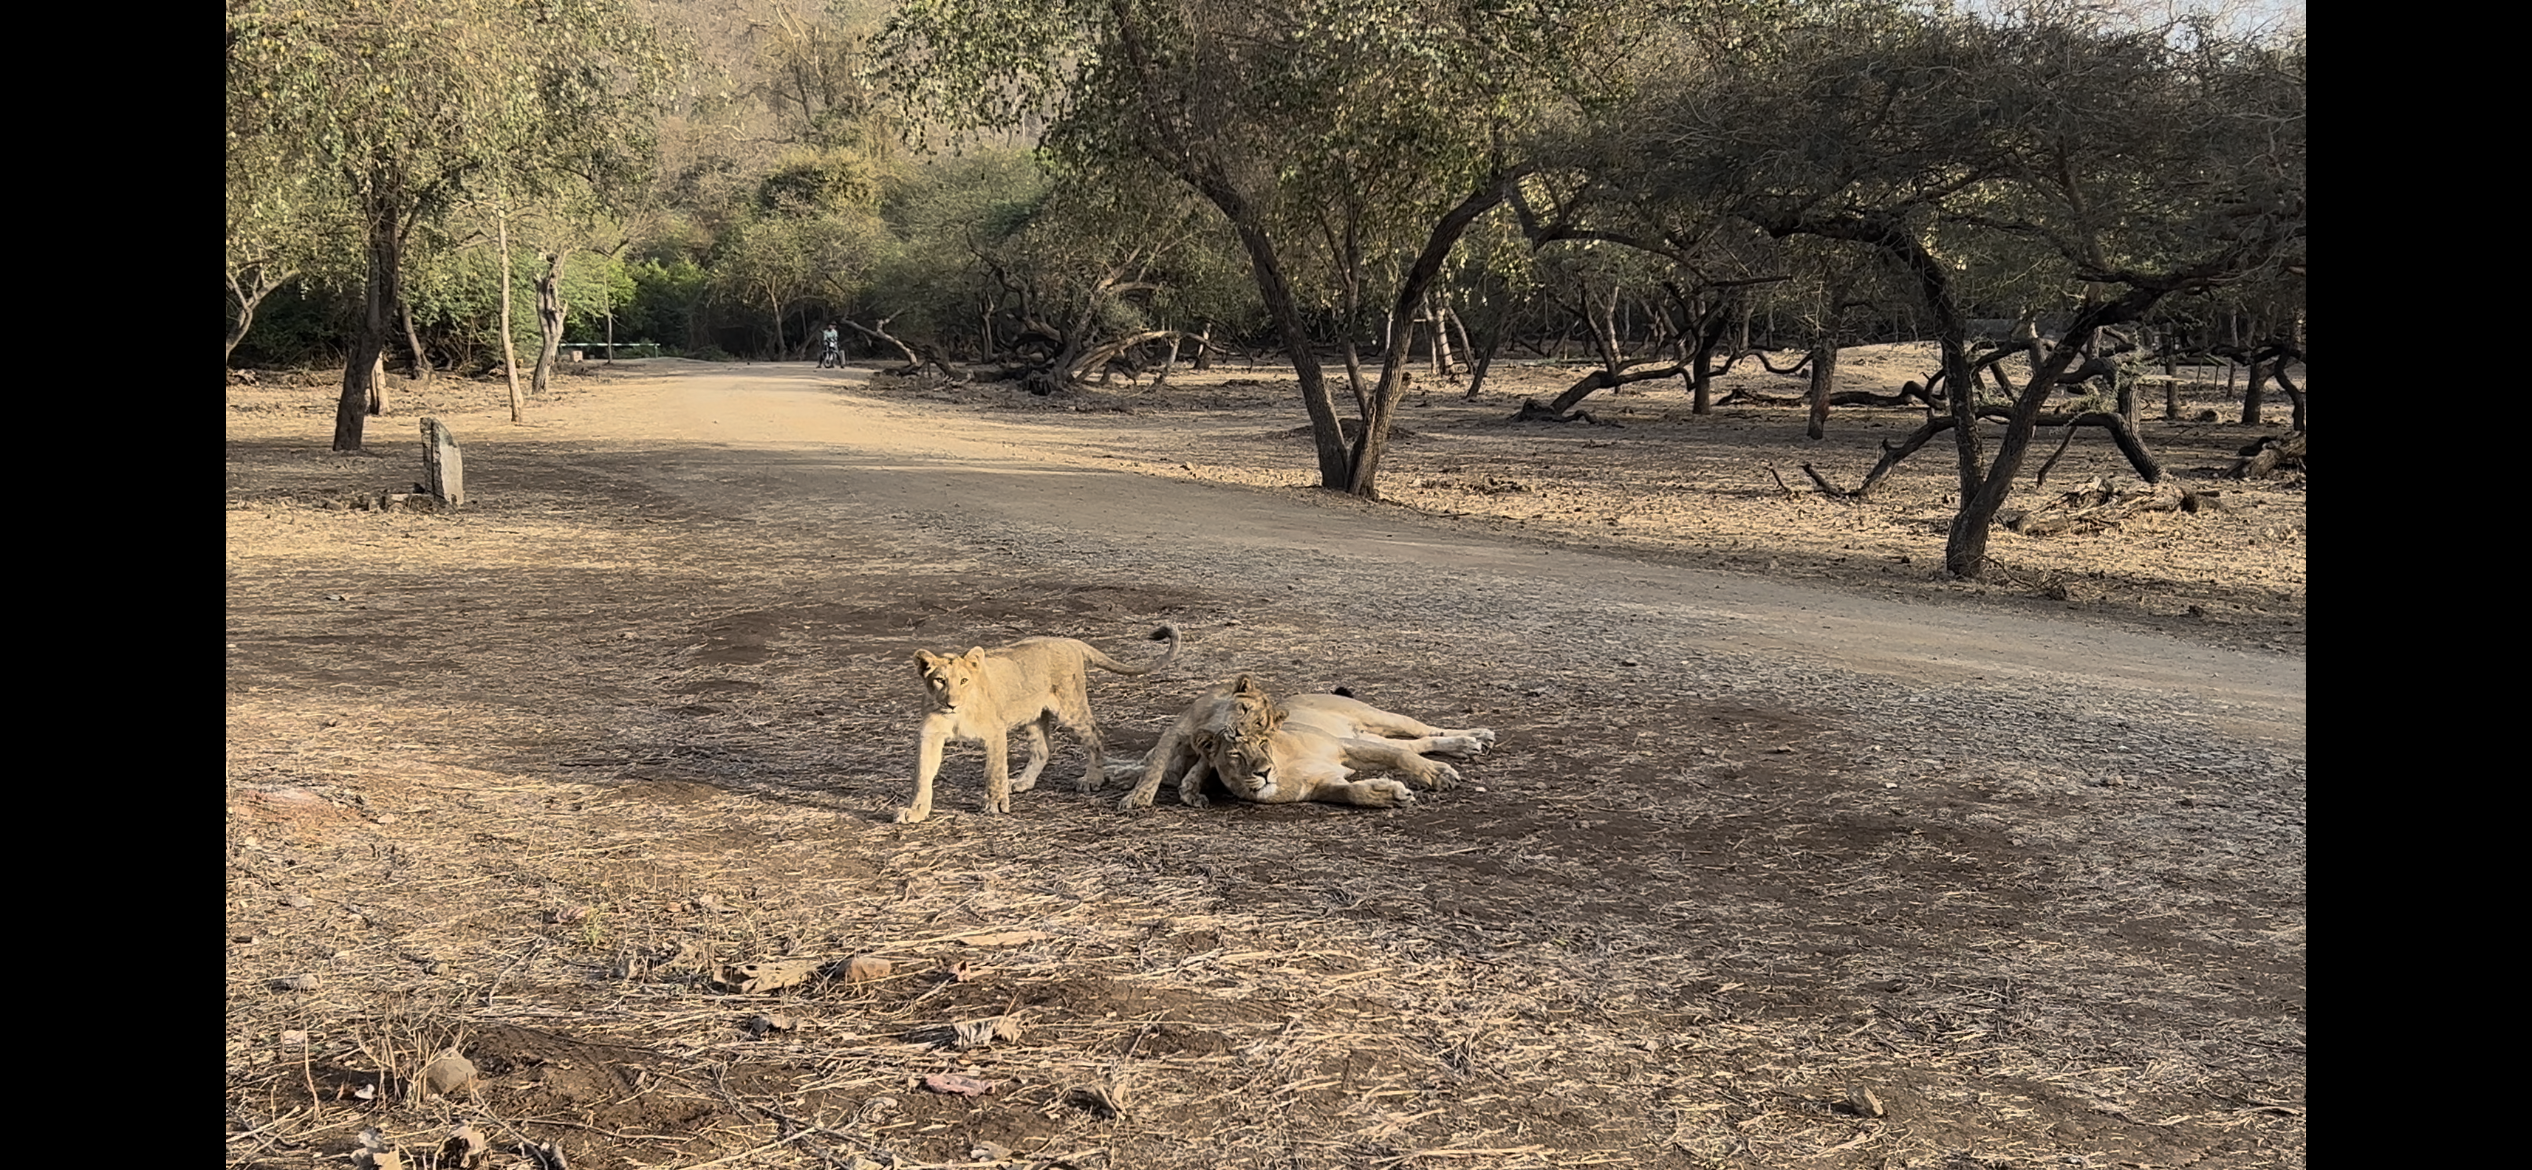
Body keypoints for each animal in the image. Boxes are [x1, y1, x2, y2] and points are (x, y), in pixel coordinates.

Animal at [1119, 673, 1488, 810]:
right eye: (1234, 755)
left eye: (1263, 743)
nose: (1263, 773)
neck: (1284, 765)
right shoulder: (1322, 784)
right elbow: (1352, 792)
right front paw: (1389, 793)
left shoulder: (1344, 746)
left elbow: (1402, 759)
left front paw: (1439, 775)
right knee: (1417, 743)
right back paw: (1470, 744)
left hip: (1377, 719)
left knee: (1423, 732)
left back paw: (1475, 737)